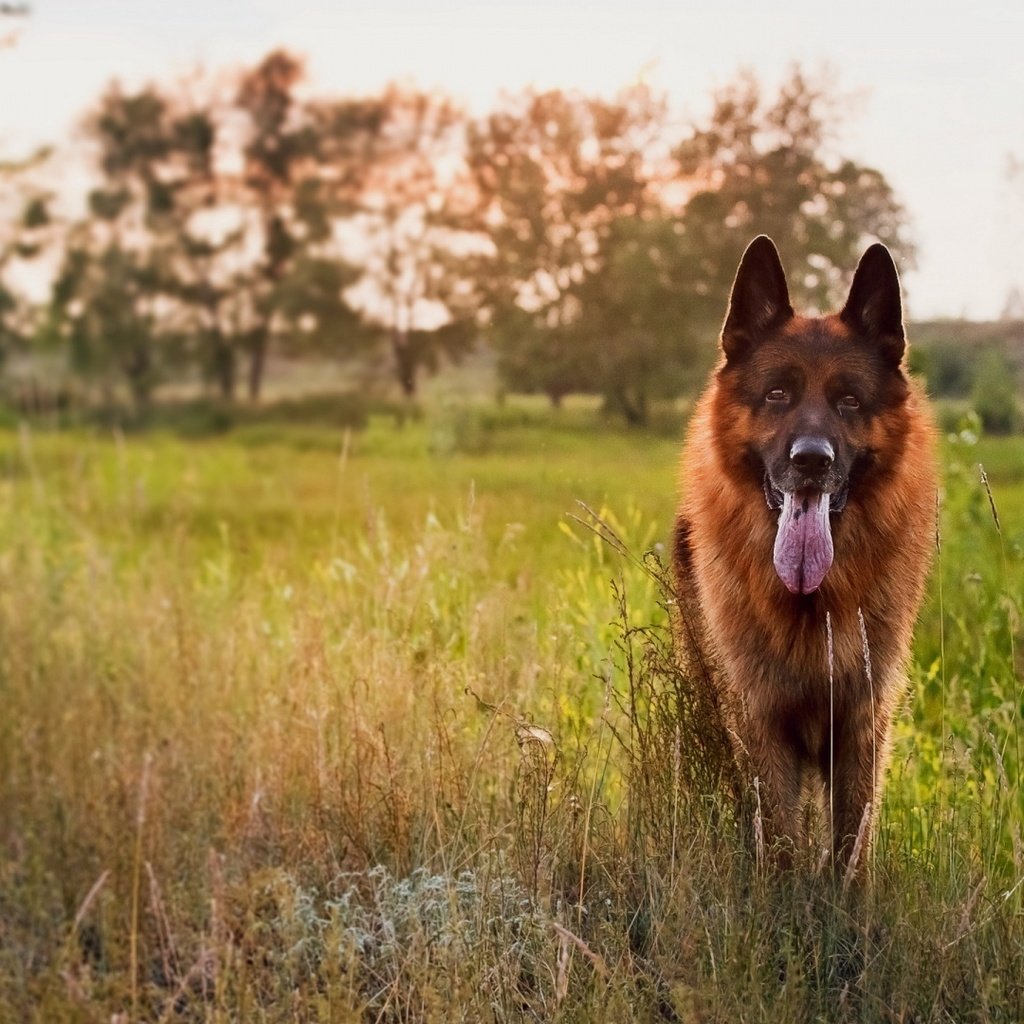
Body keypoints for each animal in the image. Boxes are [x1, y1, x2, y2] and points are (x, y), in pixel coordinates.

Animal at [671, 234, 937, 872]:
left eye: (848, 401)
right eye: (777, 394)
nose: (812, 460)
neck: (813, 601)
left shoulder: (862, 729)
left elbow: (850, 853)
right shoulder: (762, 727)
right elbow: (783, 846)